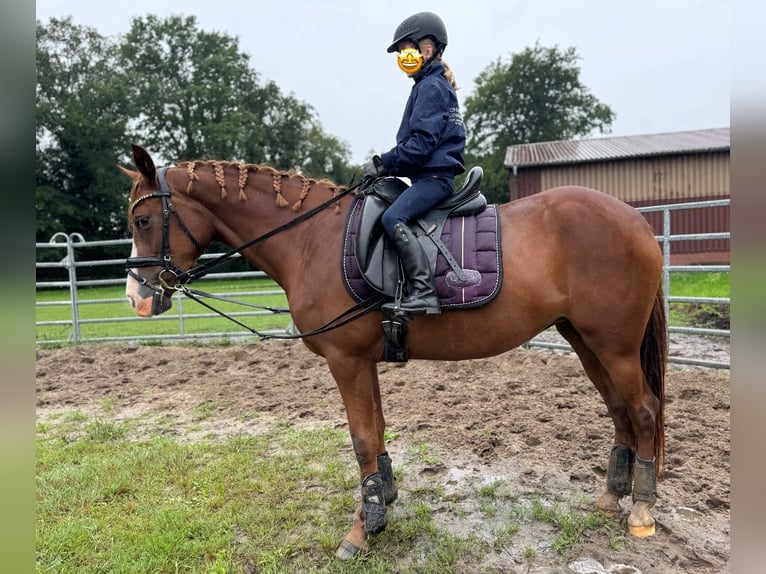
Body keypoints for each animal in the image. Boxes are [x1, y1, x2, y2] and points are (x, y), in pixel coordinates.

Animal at [120, 145, 664, 564]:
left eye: (142, 220)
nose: (137, 299)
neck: (310, 240)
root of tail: (635, 220)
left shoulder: (346, 361)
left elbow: (362, 439)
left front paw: (362, 530)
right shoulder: (364, 361)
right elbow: (377, 433)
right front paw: (384, 502)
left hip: (613, 346)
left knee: (643, 410)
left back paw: (641, 509)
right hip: (585, 341)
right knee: (620, 412)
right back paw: (611, 497)